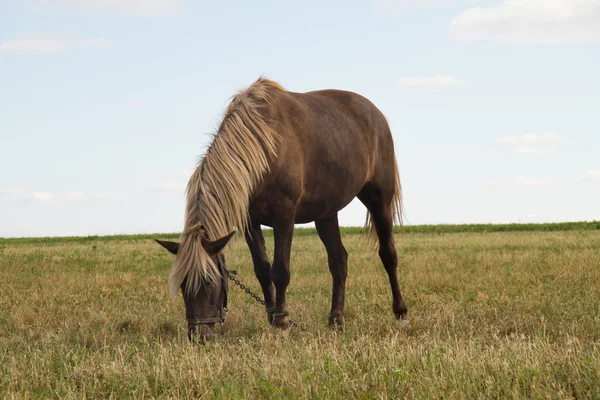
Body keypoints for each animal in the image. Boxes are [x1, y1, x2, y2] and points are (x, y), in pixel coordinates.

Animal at [155, 77, 408, 340]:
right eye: (183, 285)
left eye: (209, 282)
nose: (198, 336)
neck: (262, 149)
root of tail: (376, 114)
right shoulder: (251, 222)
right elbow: (263, 270)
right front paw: (271, 316)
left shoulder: (284, 216)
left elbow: (280, 270)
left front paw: (282, 320)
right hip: (326, 213)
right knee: (339, 260)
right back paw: (336, 320)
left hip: (379, 200)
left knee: (388, 254)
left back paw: (400, 313)